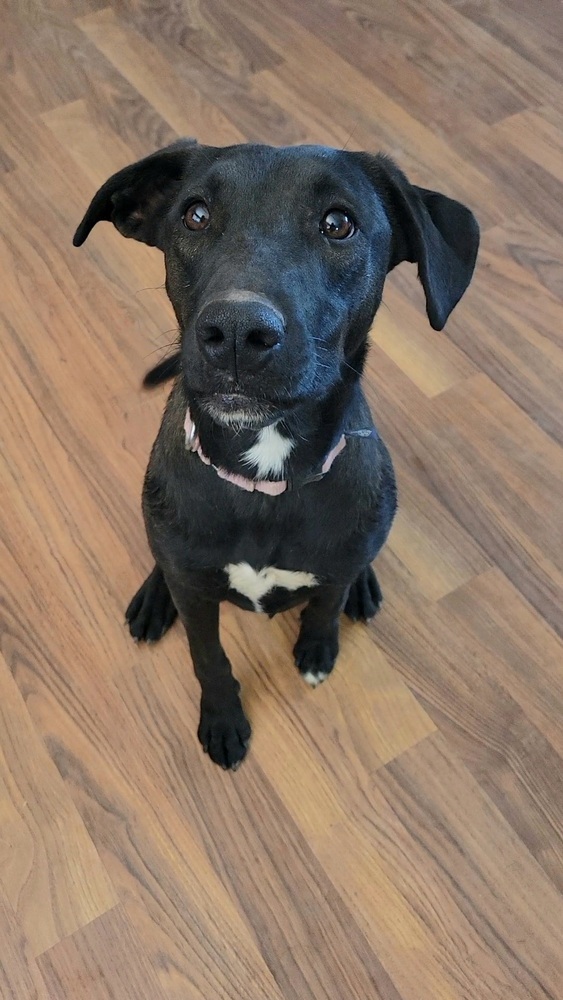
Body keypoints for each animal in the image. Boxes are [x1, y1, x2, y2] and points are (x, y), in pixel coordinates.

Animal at [75, 139, 480, 764]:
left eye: (339, 223)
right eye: (195, 214)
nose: (237, 333)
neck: (266, 475)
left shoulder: (334, 567)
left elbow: (325, 604)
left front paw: (317, 647)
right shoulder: (196, 596)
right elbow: (209, 658)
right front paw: (222, 719)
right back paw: (153, 597)